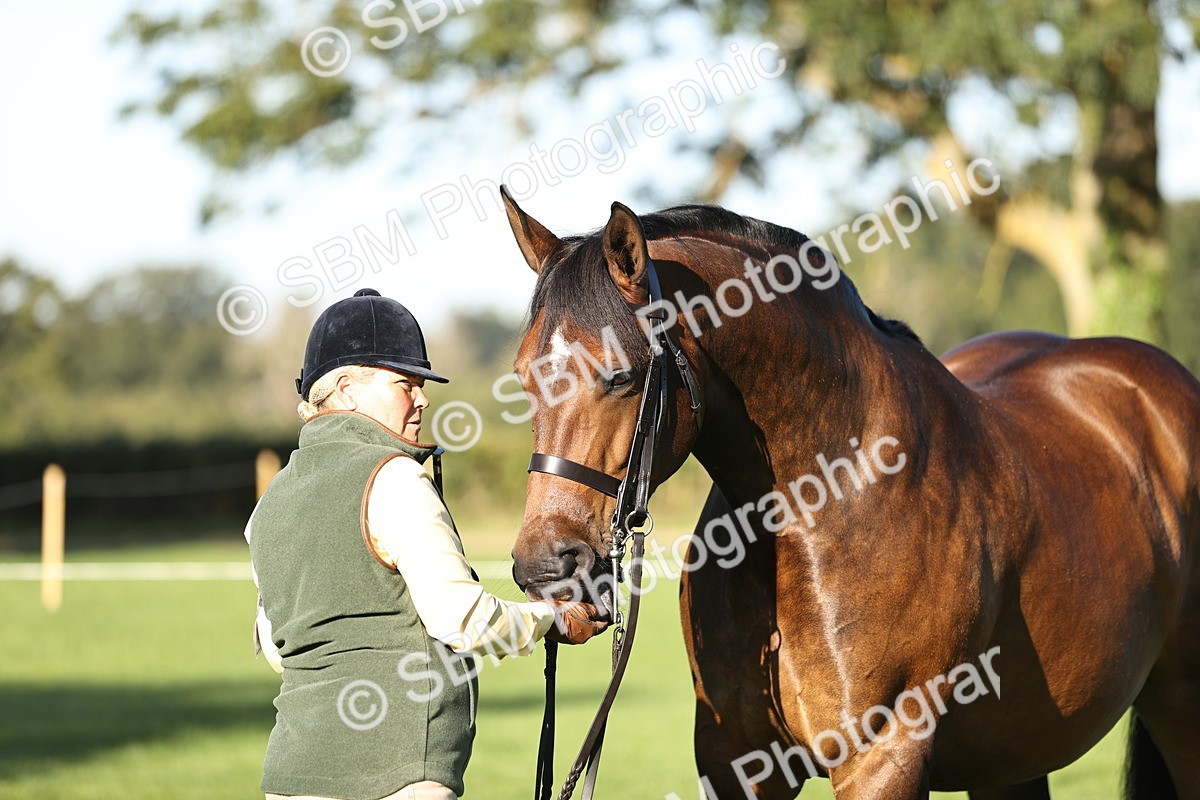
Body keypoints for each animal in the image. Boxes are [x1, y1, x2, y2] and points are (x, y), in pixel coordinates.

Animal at [499, 186, 1200, 800]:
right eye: (525, 377)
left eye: (621, 375)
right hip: (1011, 753)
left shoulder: (882, 757)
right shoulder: (737, 762)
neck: (829, 503)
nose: (546, 567)